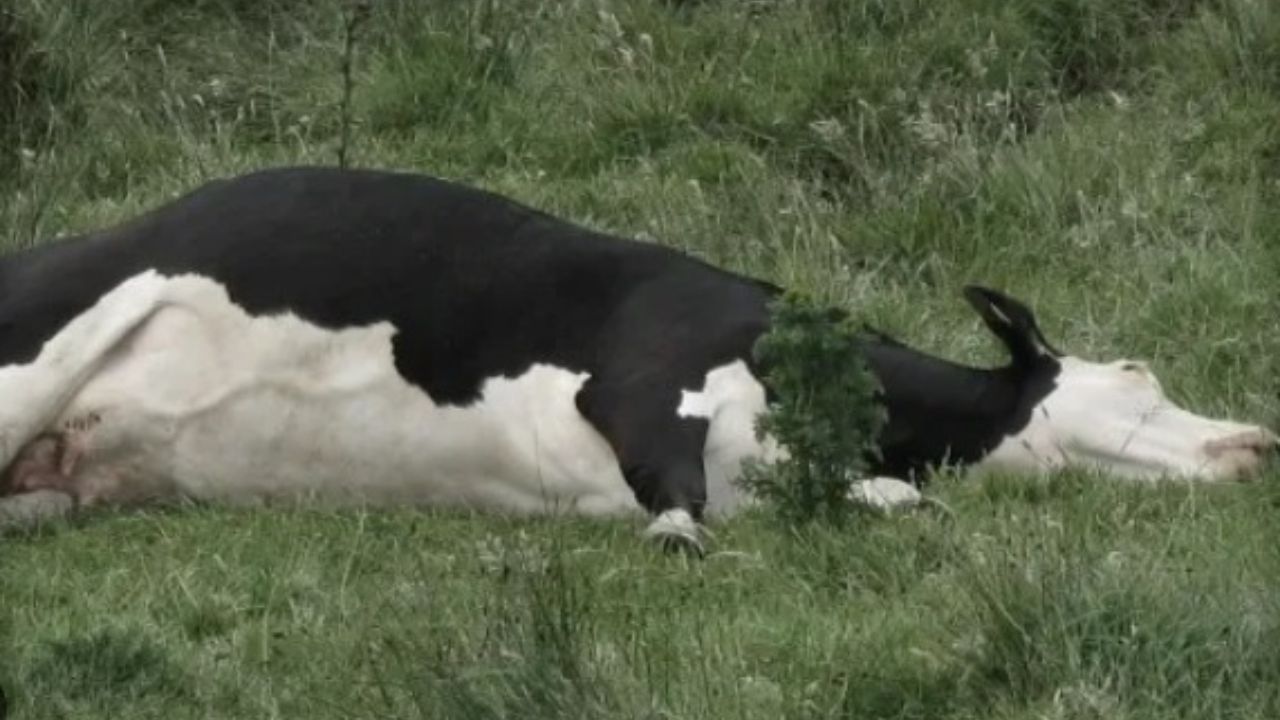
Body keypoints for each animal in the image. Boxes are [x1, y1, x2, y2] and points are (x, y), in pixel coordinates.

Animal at [0, 166, 1269, 548]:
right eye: (1137, 375)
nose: (1255, 439)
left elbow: (884, 499)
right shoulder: (645, 370)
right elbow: (677, 494)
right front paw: (674, 535)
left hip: (52, 483)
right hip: (34, 356)